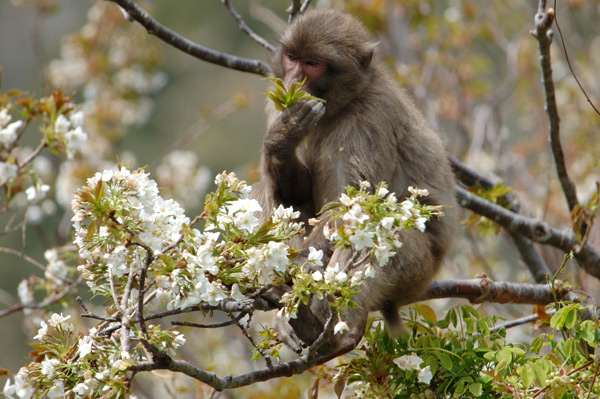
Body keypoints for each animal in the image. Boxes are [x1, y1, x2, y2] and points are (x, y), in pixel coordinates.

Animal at [251, 9, 458, 360]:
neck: (344, 102)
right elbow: (294, 197)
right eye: (292, 58)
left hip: (418, 269)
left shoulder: (368, 120)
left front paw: (299, 273)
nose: (294, 81)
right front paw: (283, 138)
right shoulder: (276, 102)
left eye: (313, 64)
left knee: (371, 229)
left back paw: (321, 330)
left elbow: (349, 209)